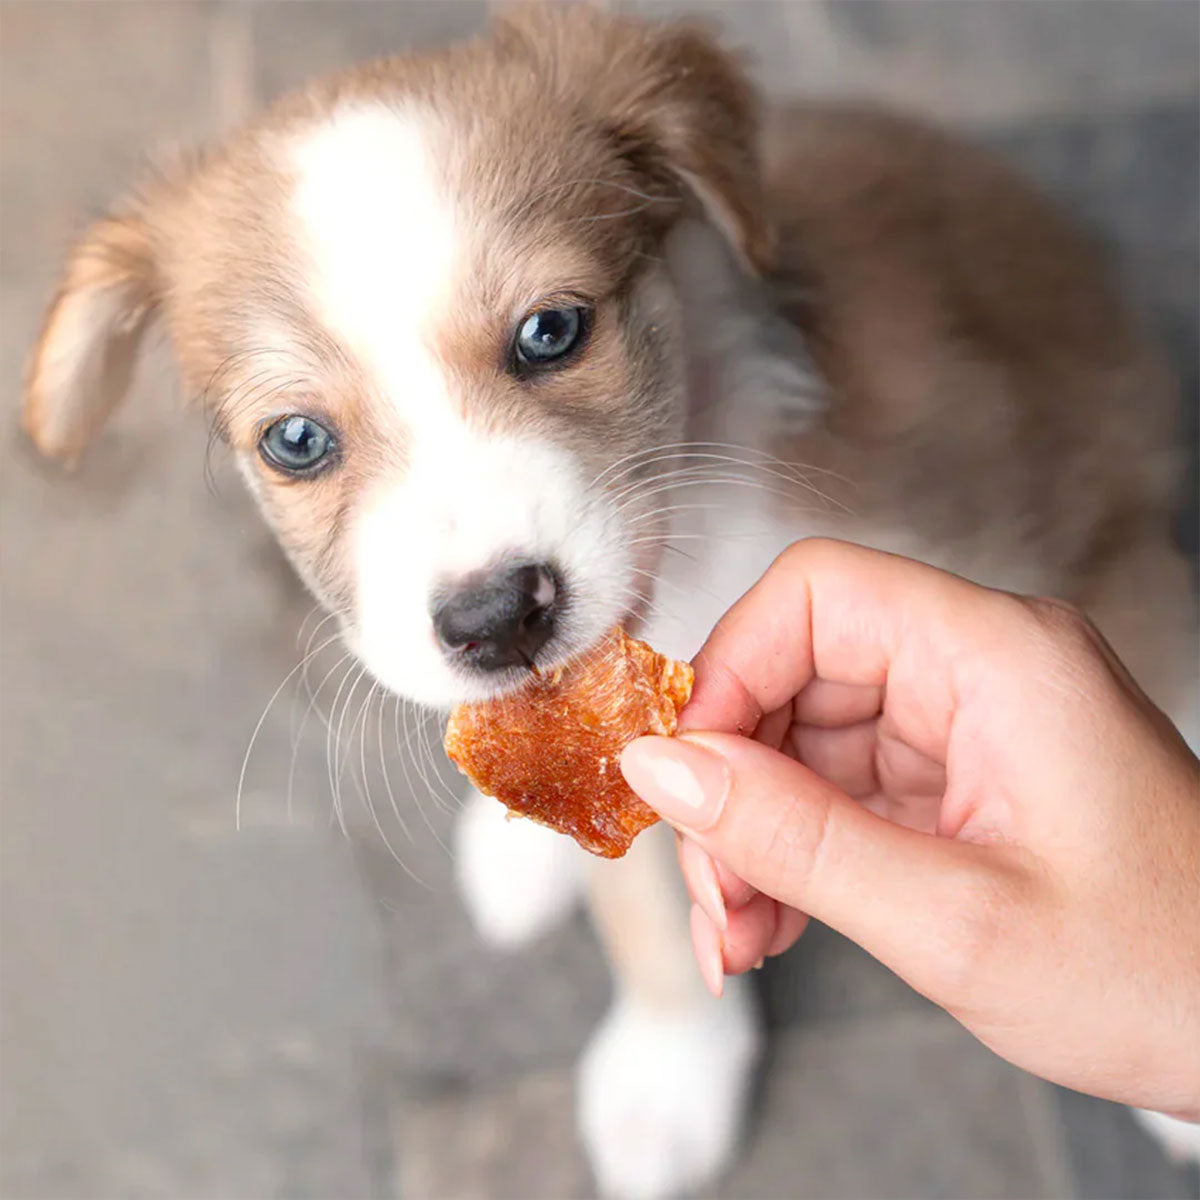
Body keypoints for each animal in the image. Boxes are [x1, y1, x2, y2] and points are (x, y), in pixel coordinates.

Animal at [23, 7, 1195, 1190]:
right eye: (296, 440)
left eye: (551, 331)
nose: (496, 620)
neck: (694, 538)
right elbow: (643, 909)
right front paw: (672, 1069)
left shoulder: (1083, 572)